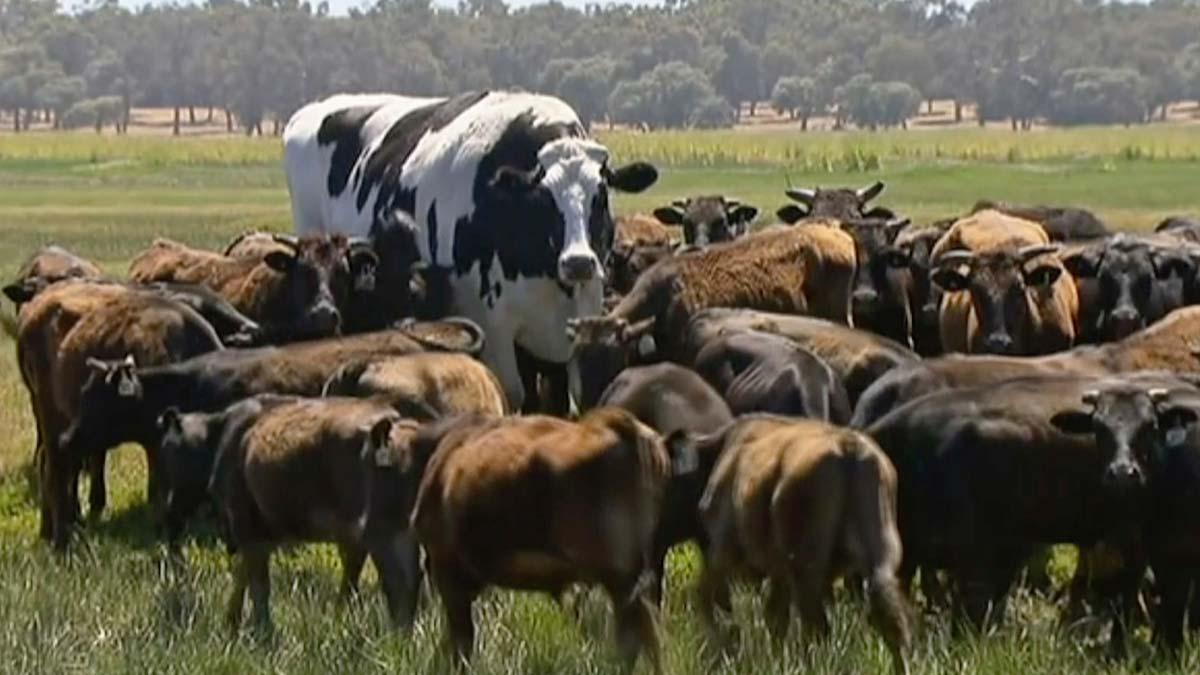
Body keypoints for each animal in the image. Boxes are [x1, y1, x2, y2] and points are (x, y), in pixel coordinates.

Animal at [14, 278, 225, 547]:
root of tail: (35, 308)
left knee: (51, 467)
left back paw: (50, 530)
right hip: (50, 418)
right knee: (56, 470)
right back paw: (62, 538)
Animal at [283, 91, 657, 408]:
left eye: (601, 195)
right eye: (542, 197)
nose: (578, 262)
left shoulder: (580, 314)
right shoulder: (492, 325)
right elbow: (513, 393)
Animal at [691, 413, 912, 667]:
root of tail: (850, 449)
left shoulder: (723, 552)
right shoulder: (778, 572)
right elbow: (775, 618)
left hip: (806, 569)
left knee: (815, 625)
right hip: (878, 561)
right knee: (890, 621)